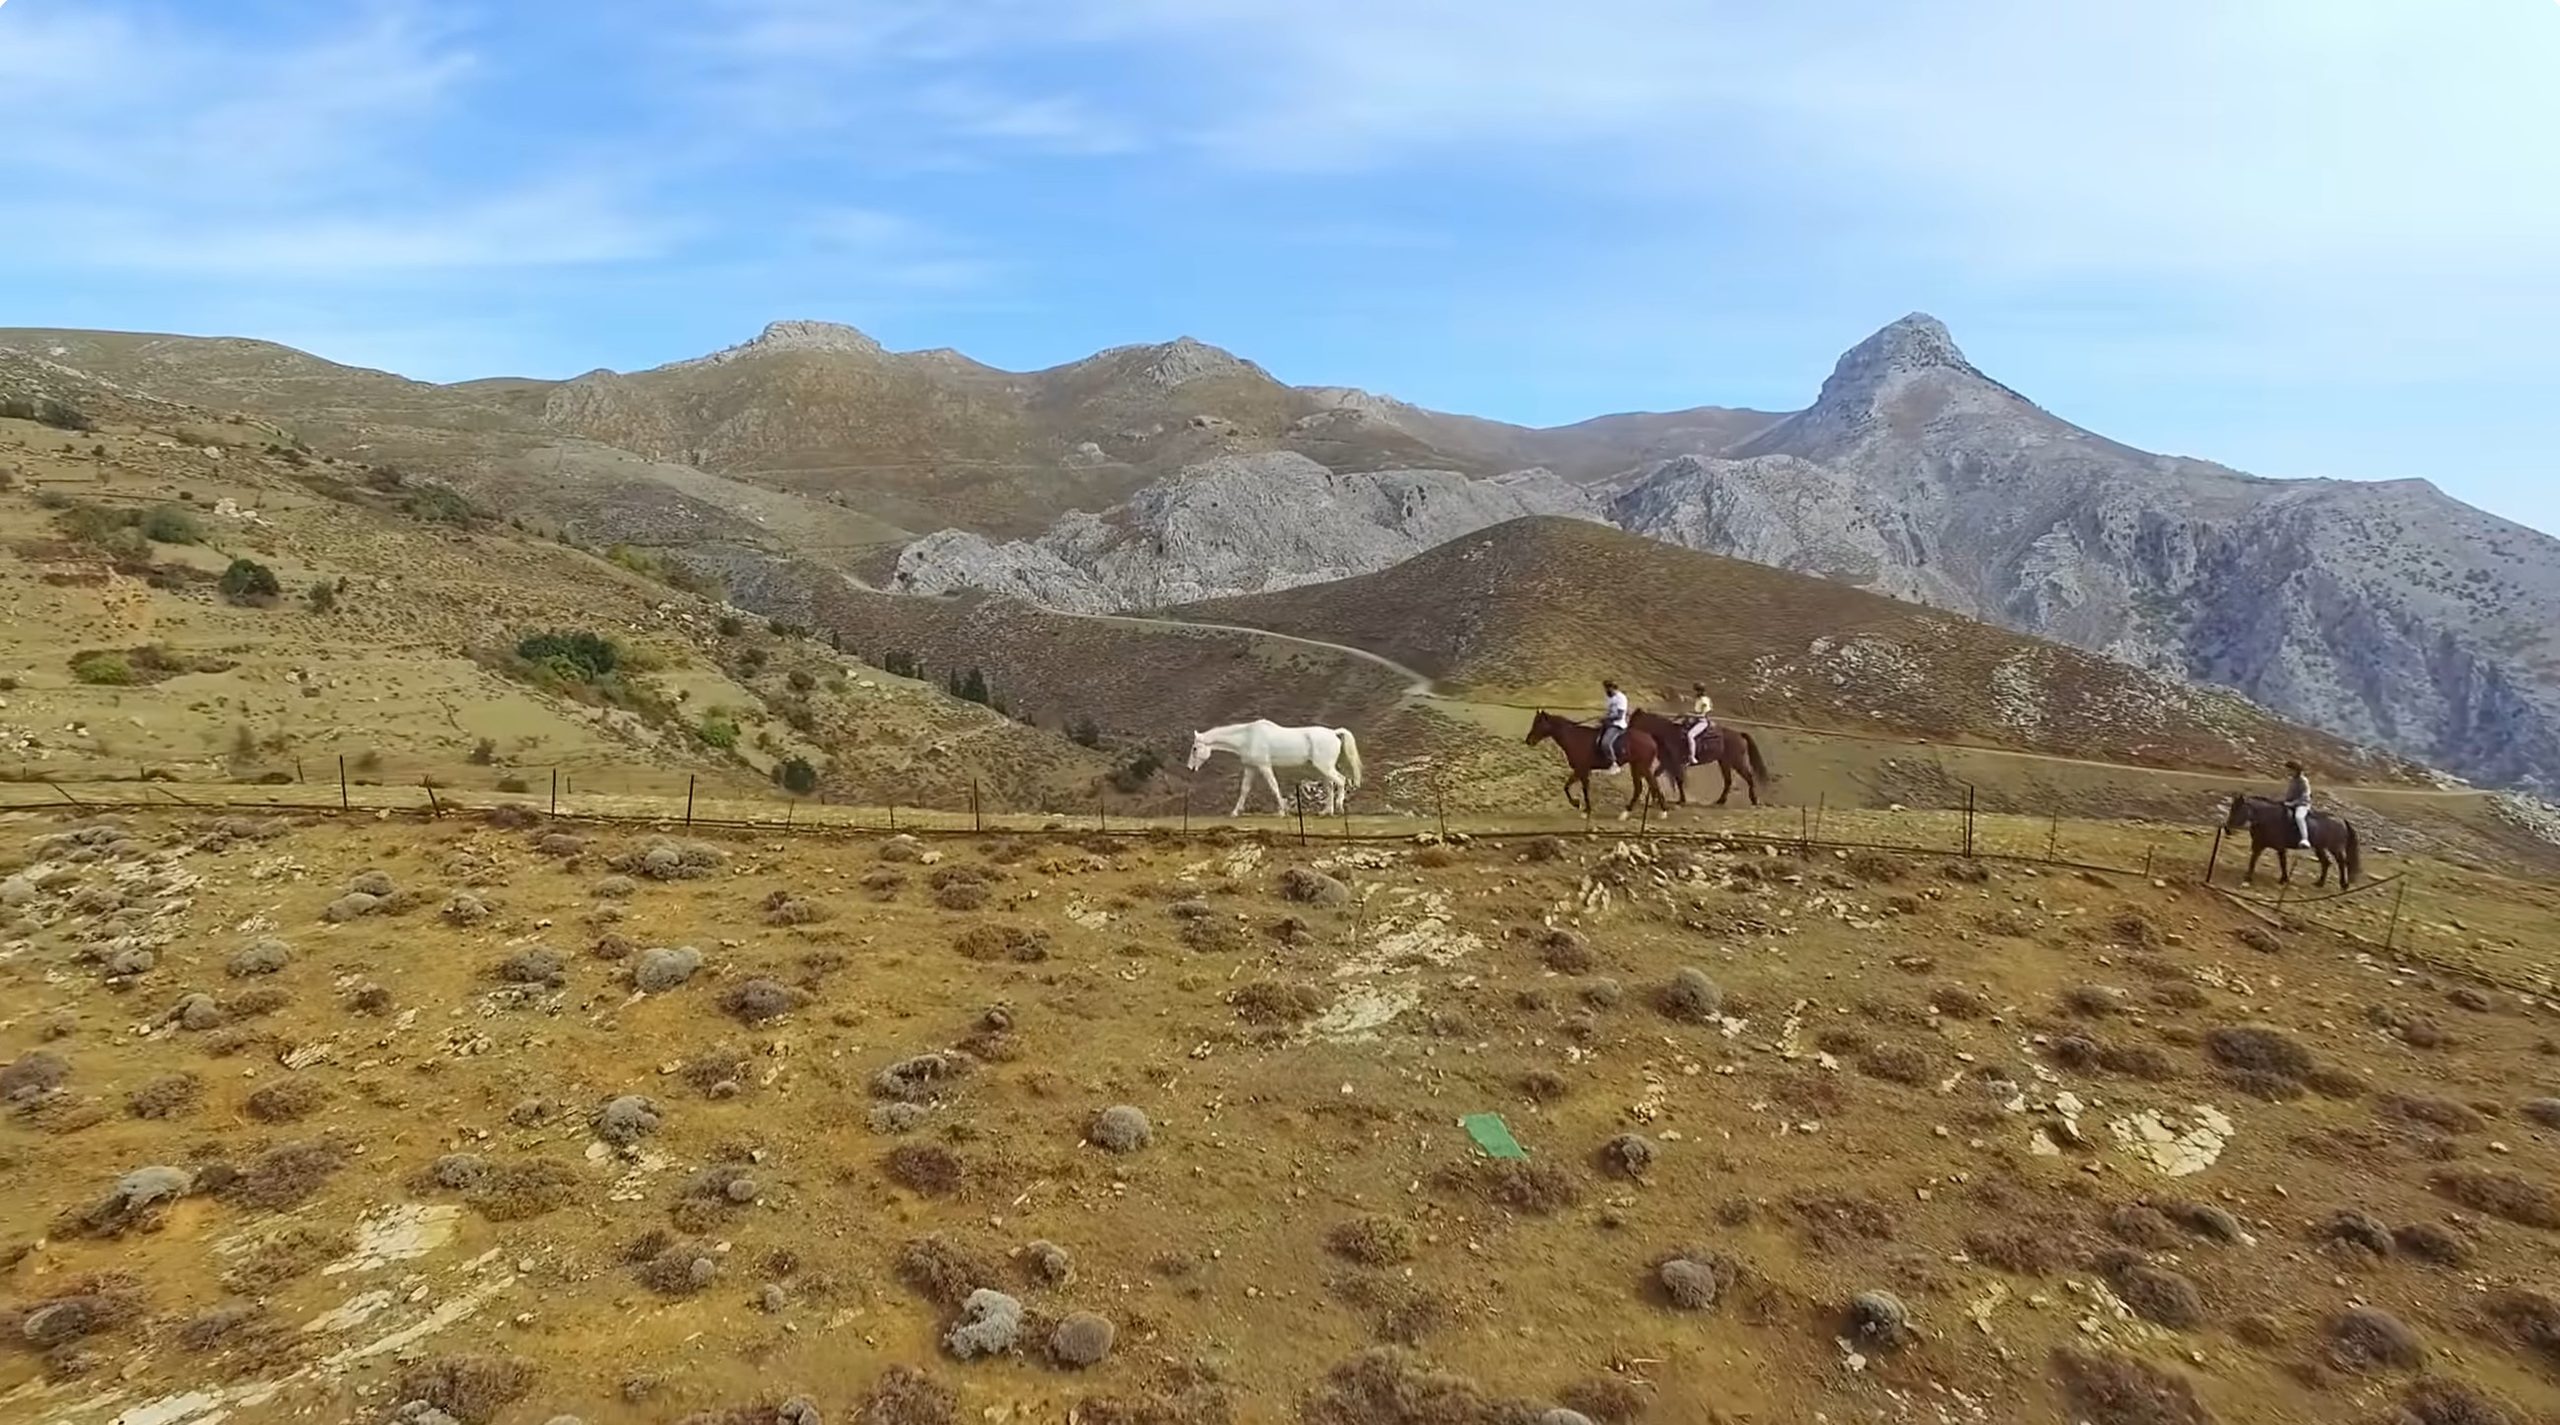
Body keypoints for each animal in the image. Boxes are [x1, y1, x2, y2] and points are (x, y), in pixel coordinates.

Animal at [1186, 720, 1364, 816]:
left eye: (1194, 748)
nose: (1190, 768)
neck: (1247, 737)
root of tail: (1334, 733)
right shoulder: (1251, 768)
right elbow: (1244, 790)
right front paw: (1235, 812)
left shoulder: (1264, 766)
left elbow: (1273, 786)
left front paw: (1282, 811)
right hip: (1323, 769)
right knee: (1330, 786)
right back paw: (1326, 811)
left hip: (1325, 767)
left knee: (1341, 781)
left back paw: (1339, 807)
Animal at [1524, 710, 1669, 819]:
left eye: (1538, 723)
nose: (1528, 741)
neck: (1574, 738)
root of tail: (1651, 739)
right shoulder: (1582, 770)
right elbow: (1568, 787)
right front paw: (1579, 805)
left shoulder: (1581, 769)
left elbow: (1580, 789)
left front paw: (1582, 808)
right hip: (1635, 766)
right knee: (1640, 788)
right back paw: (1626, 813)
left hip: (1642, 766)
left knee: (1652, 785)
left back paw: (1662, 812)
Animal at [1628, 709, 1773, 807]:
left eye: (1633, 721)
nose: (1627, 734)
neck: (1666, 734)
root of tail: (1739, 734)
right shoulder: (1666, 763)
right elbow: (1657, 776)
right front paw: (1658, 797)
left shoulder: (1673, 764)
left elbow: (1678, 780)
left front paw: (1680, 800)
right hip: (1724, 763)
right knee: (1728, 781)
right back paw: (1721, 801)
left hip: (1737, 762)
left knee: (1749, 777)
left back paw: (1754, 800)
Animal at [2223, 794, 2361, 889]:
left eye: (2238, 809)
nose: (2227, 828)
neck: (2267, 818)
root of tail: (2342, 820)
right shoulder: (2259, 845)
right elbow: (2253, 860)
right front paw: (2248, 878)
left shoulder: (2279, 847)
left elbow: (2282, 862)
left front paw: (2283, 879)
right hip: (2320, 847)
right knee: (2326, 862)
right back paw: (2320, 883)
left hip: (2335, 849)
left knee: (2342, 863)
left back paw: (2344, 884)